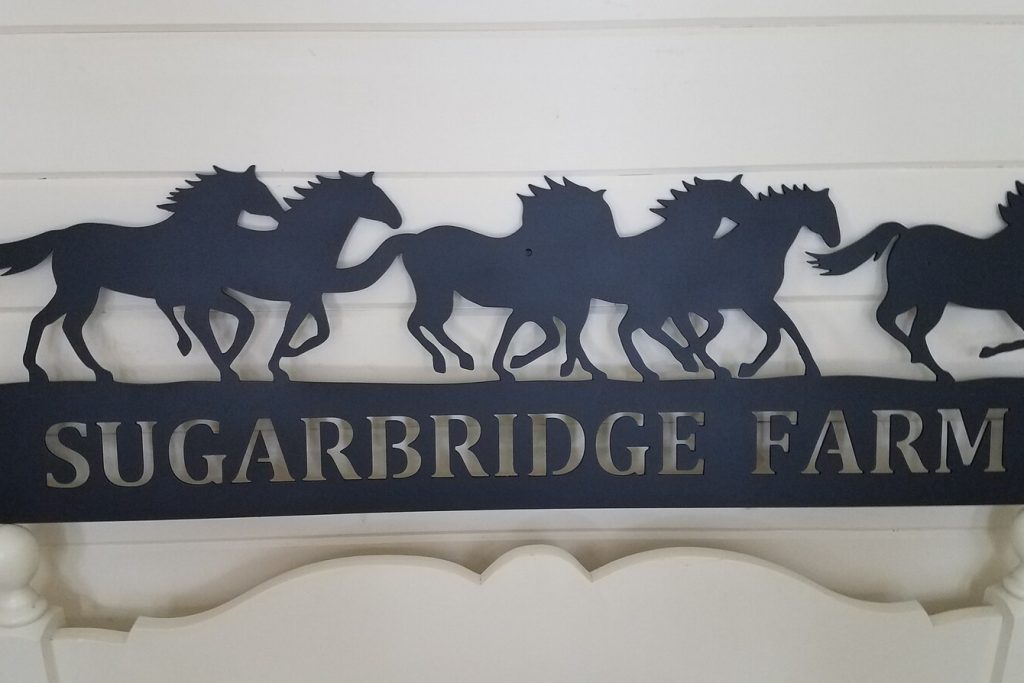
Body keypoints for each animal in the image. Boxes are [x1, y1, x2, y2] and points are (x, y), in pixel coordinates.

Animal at [0, 165, 283, 382]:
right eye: (261, 191)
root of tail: (60, 235)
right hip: (79, 291)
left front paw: (227, 363)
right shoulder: (196, 302)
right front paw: (225, 369)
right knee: (64, 325)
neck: (195, 236)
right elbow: (207, 330)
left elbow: (246, 318)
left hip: (76, 291)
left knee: (51, 322)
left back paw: (66, 372)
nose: (280, 214)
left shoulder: (208, 295)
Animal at [808, 181, 1024, 382]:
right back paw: (936, 369)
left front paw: (987, 351)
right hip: (917, 295)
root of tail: (904, 232)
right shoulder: (1014, 307)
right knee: (892, 320)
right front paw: (986, 351)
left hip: (922, 299)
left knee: (903, 326)